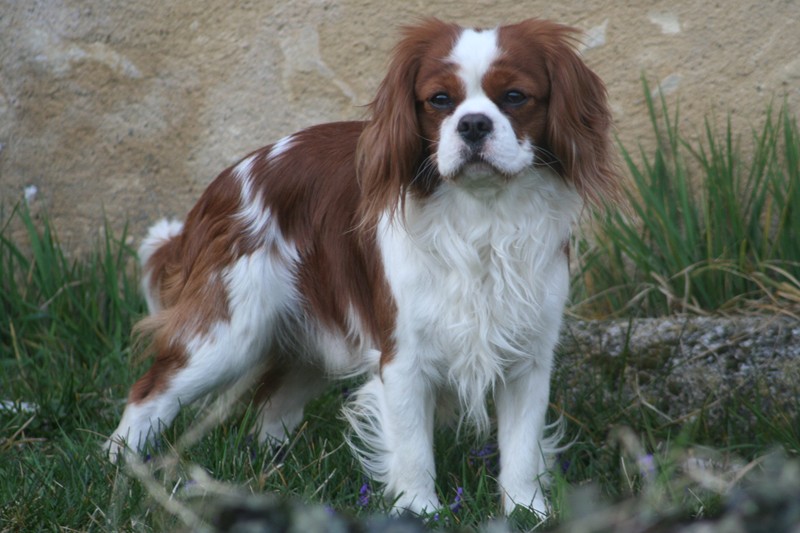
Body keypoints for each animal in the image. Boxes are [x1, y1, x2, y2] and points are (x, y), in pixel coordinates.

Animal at [106, 17, 620, 516]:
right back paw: (123, 465)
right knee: (149, 392)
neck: (483, 216)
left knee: (272, 405)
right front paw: (419, 511)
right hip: (229, 332)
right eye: (439, 100)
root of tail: (224, 183)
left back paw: (273, 469)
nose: (473, 124)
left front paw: (527, 511)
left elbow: (522, 447)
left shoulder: (528, 358)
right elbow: (412, 447)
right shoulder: (404, 356)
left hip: (308, 340)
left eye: (514, 96)